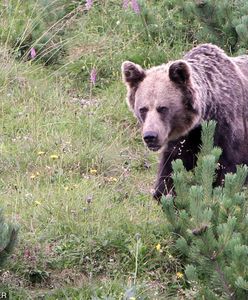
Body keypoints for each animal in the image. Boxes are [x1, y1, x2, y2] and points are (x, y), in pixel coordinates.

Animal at [121, 43, 248, 200]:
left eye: (162, 108)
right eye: (143, 109)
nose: (150, 136)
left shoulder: (227, 128)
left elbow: (228, 169)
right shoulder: (184, 138)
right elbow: (172, 167)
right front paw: (163, 193)